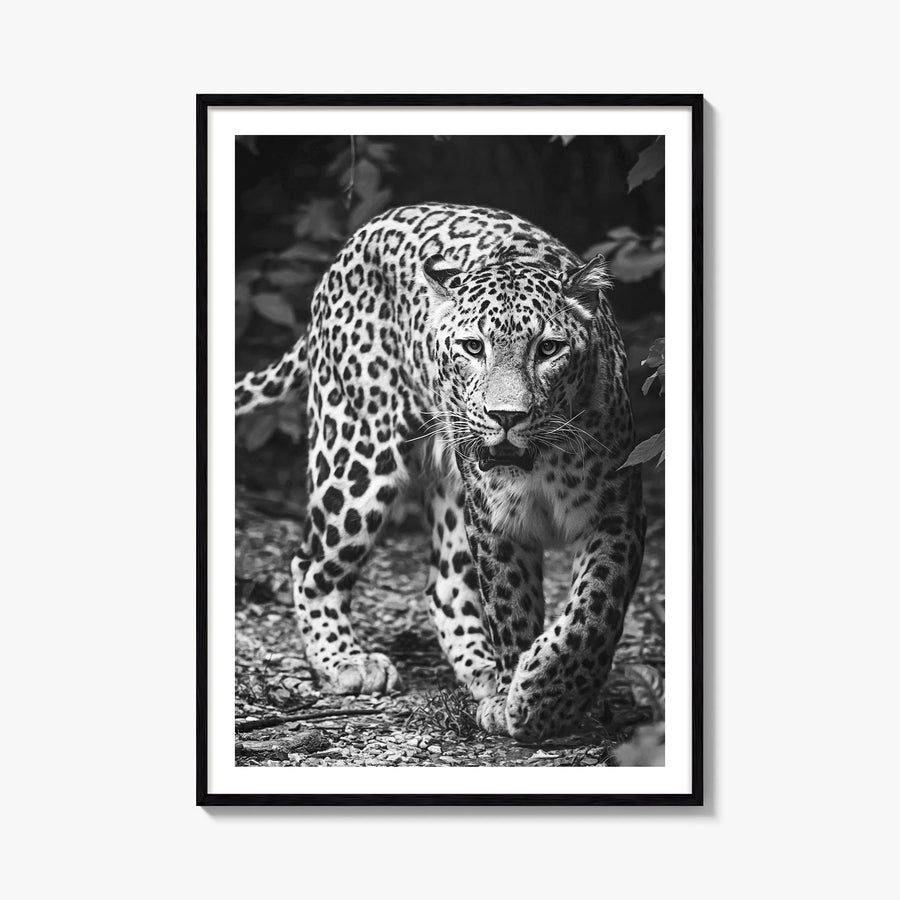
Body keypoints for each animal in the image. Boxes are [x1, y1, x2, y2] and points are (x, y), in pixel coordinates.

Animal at [235, 202, 646, 741]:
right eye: (473, 348)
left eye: (548, 349)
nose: (506, 416)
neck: (542, 461)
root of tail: (354, 241)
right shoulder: (495, 521)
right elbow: (511, 607)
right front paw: (522, 697)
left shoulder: (616, 513)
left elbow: (593, 611)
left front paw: (544, 695)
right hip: (356, 459)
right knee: (310, 565)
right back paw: (348, 661)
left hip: (450, 489)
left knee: (445, 586)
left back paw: (482, 672)